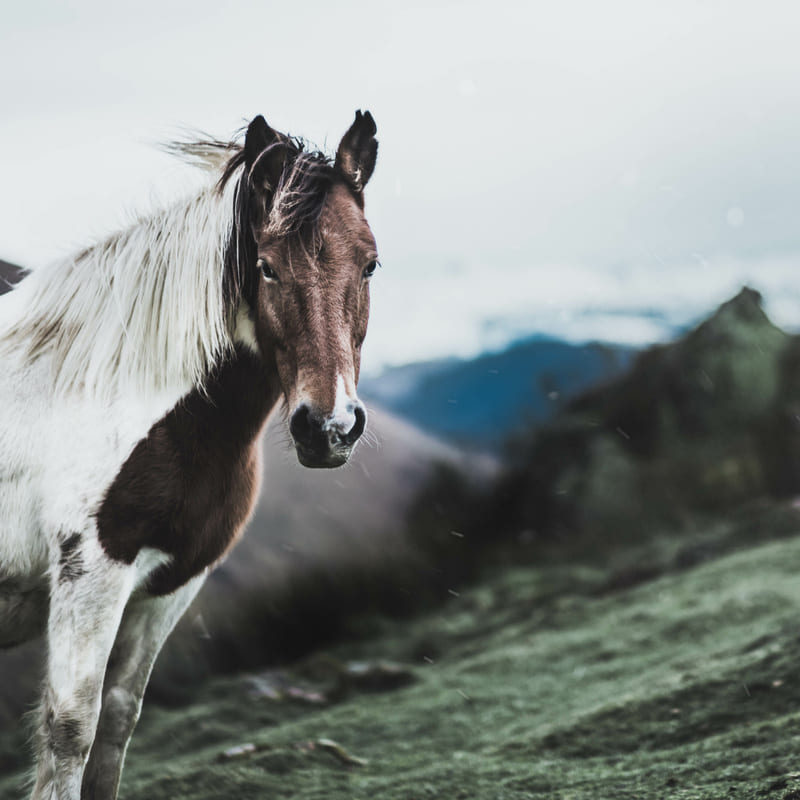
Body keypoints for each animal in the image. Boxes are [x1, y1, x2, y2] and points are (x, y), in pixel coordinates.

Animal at [0, 108, 382, 800]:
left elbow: (117, 723)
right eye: (266, 266)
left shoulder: (170, 585)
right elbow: (70, 729)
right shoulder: (91, 573)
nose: (330, 428)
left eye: (370, 264)